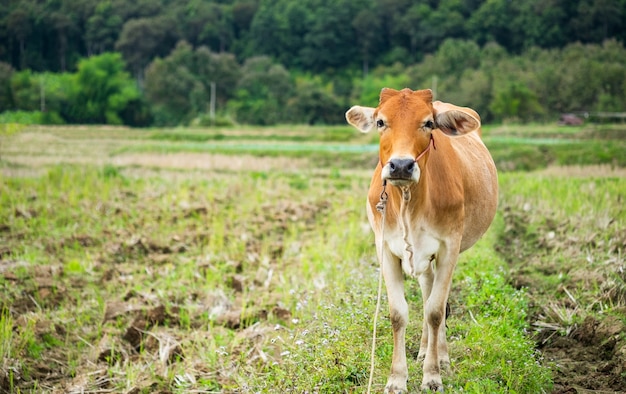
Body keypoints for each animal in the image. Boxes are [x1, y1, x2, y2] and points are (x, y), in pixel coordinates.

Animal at [344, 87, 494, 392]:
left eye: (428, 123)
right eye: (381, 122)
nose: (401, 165)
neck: (408, 202)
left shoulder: (449, 247)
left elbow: (436, 312)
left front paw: (433, 375)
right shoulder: (385, 249)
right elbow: (398, 314)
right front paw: (396, 378)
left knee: (436, 303)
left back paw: (440, 357)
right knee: (426, 291)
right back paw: (425, 349)